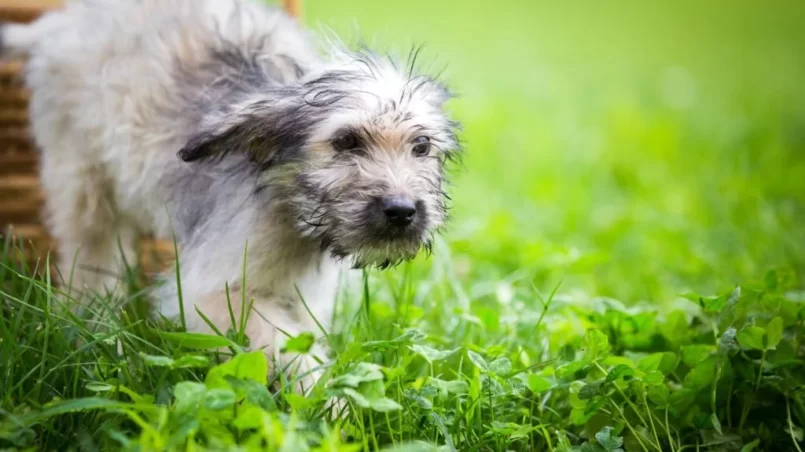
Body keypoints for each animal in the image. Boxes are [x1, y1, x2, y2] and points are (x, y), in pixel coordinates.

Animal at [0, 0, 462, 390]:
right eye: (346, 142)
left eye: (422, 146)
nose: (402, 211)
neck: (292, 207)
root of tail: (63, 22)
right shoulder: (215, 293)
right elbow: (284, 344)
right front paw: (327, 400)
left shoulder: (304, 295)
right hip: (84, 184)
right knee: (90, 263)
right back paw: (89, 328)